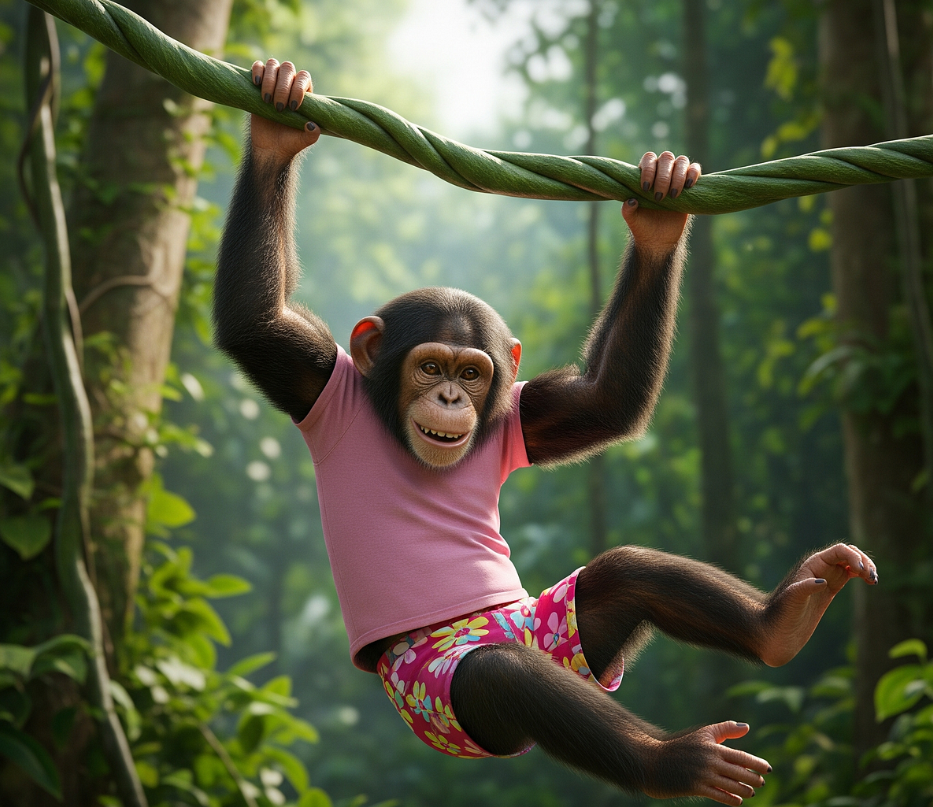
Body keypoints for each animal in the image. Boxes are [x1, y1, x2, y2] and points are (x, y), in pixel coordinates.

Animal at [212, 59, 879, 805]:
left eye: (472, 374)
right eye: (430, 366)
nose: (450, 395)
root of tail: (498, 620)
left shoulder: (523, 415)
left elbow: (606, 402)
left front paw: (659, 218)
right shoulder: (313, 374)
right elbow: (255, 321)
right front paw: (274, 126)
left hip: (561, 629)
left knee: (622, 574)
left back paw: (777, 627)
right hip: (444, 695)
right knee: (500, 674)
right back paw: (673, 760)